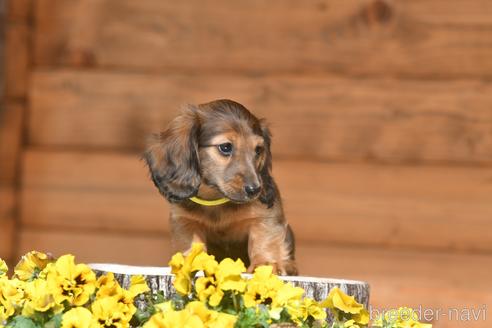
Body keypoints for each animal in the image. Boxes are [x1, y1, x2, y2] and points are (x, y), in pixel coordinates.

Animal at [144, 98, 298, 276]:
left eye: (258, 150)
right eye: (225, 147)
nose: (255, 190)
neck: (216, 197)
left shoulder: (266, 216)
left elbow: (264, 238)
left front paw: (265, 263)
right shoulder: (184, 219)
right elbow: (191, 242)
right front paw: (190, 261)